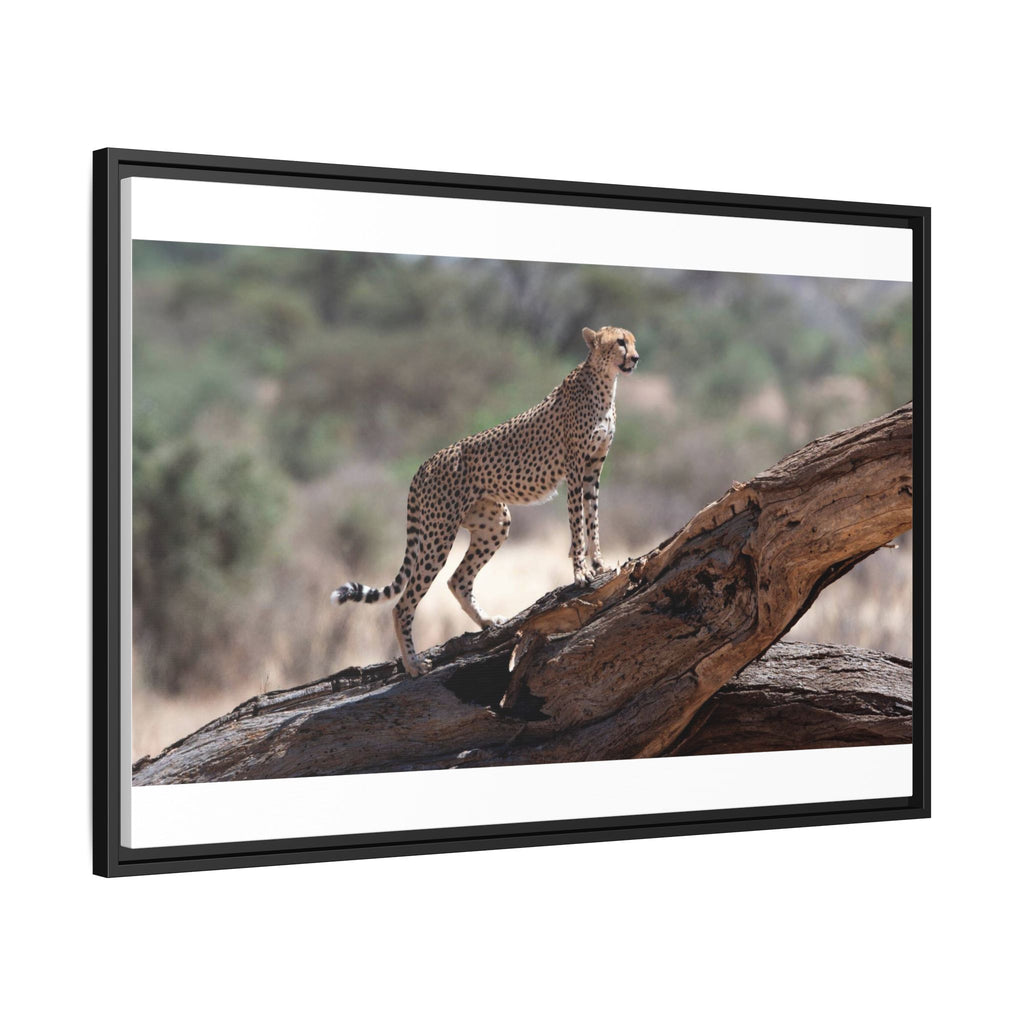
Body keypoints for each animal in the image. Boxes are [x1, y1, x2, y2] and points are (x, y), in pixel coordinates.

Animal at [331, 325, 640, 676]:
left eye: (632, 341)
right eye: (620, 342)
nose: (635, 358)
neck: (604, 381)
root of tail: (425, 464)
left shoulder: (593, 469)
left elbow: (593, 518)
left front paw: (600, 563)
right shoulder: (575, 469)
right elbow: (577, 523)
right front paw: (581, 572)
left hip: (494, 523)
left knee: (457, 580)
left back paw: (488, 622)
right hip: (438, 535)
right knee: (403, 603)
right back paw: (413, 664)